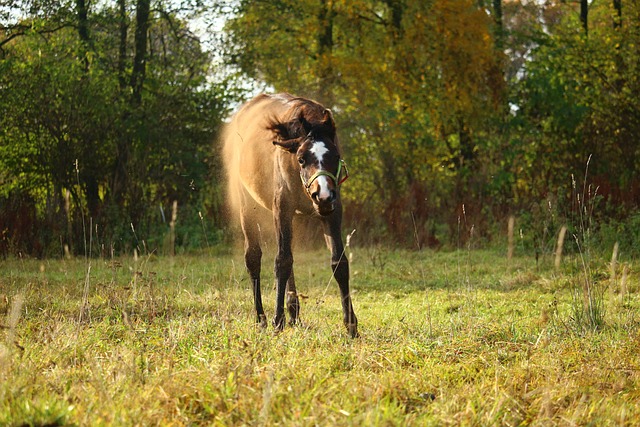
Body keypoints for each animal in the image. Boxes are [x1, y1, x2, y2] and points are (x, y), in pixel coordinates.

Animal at [222, 93, 358, 338]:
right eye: (301, 158)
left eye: (336, 156)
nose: (323, 194)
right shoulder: (282, 208)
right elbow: (282, 261)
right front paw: (277, 320)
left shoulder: (332, 211)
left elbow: (339, 262)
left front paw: (351, 324)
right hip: (248, 207)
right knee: (253, 258)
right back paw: (262, 319)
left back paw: (293, 311)